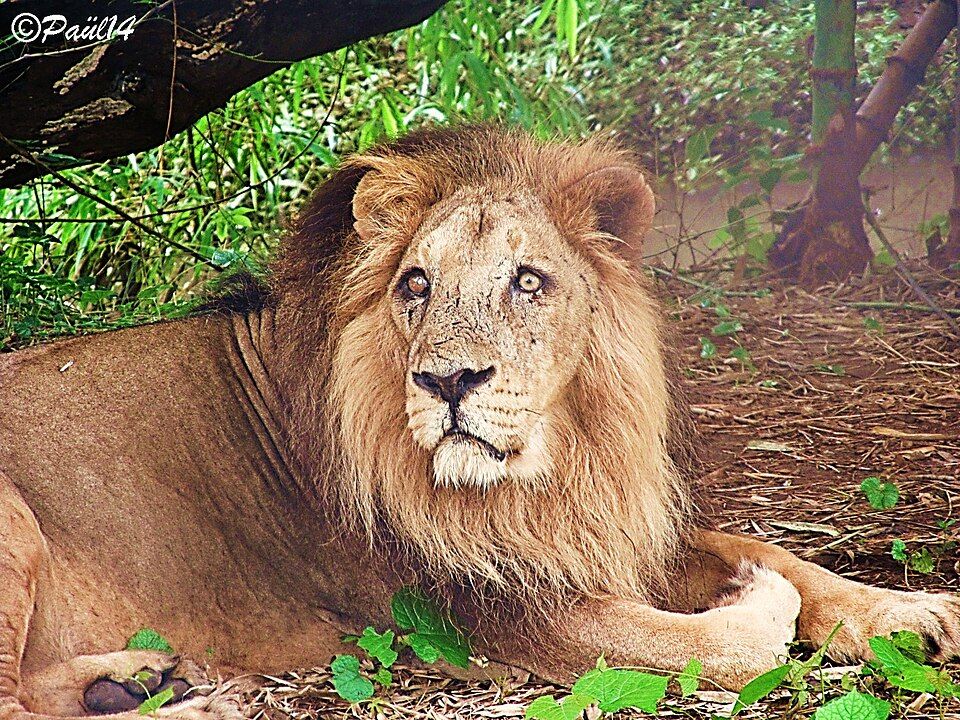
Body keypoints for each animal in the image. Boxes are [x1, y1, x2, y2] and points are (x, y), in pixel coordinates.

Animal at [0, 125, 957, 719]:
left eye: (528, 281)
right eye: (416, 284)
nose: (448, 379)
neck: (551, 472)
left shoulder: (600, 533)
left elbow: (776, 550)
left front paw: (910, 612)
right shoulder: (487, 609)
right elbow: (727, 644)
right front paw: (755, 601)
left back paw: (133, 680)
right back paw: (204, 701)